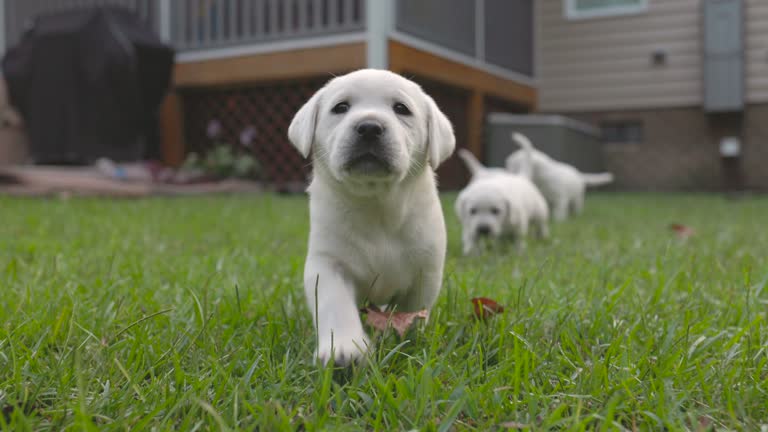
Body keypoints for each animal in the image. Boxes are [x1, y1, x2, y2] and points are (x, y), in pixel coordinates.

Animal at [288, 69, 456, 366]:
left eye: (401, 109)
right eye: (340, 107)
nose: (369, 127)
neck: (376, 204)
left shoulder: (426, 271)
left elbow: (413, 312)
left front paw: (408, 342)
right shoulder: (328, 263)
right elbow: (335, 303)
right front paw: (344, 349)